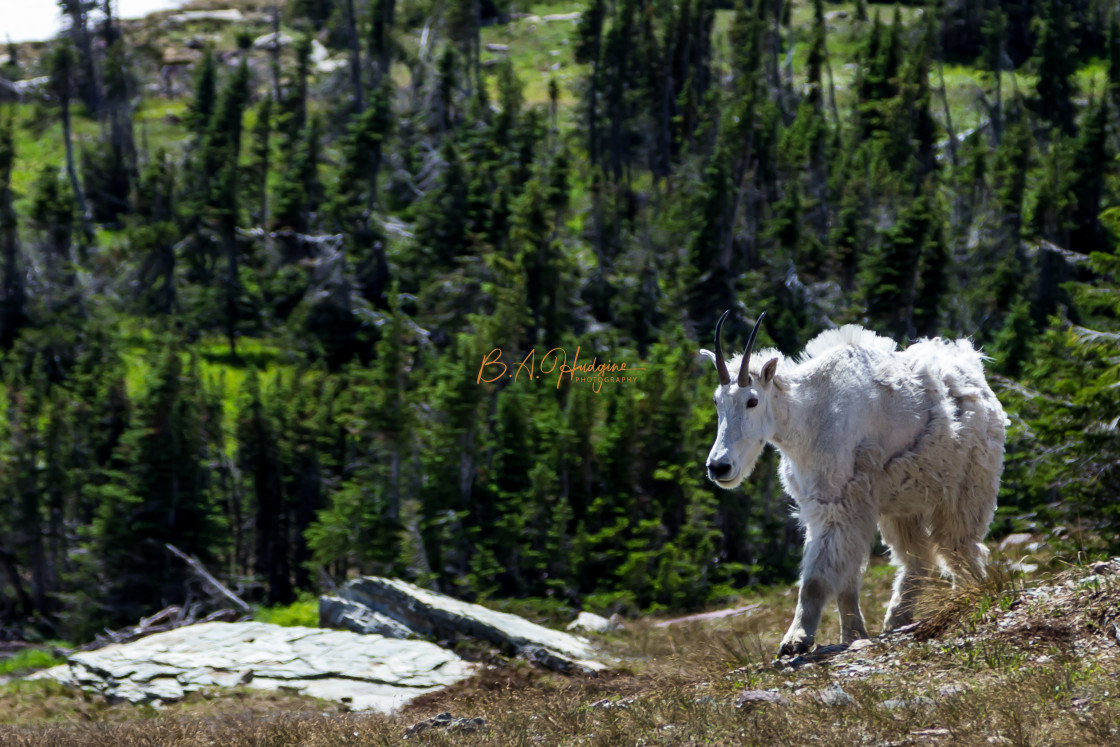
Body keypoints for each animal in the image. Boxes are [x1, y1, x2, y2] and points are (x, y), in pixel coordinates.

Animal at [698, 309, 1008, 654]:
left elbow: (816, 579)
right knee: (919, 559)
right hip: (903, 503)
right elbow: (845, 579)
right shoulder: (831, 503)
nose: (719, 467)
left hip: (968, 483)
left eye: (752, 401)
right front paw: (852, 634)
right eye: (716, 401)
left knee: (959, 544)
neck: (809, 417)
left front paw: (795, 640)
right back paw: (896, 619)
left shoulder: (841, 500)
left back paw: (967, 593)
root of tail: (971, 363)